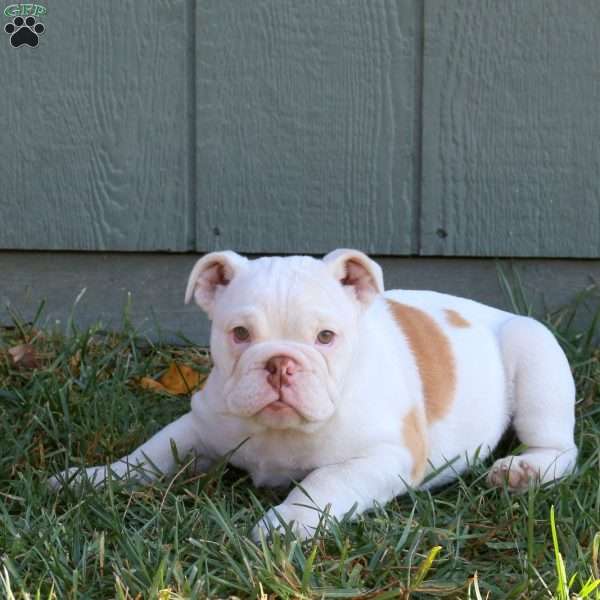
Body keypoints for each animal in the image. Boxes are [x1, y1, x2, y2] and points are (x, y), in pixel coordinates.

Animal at [50, 248, 576, 540]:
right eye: (239, 334)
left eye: (326, 337)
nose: (280, 363)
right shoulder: (199, 427)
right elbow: (149, 454)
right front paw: (94, 478)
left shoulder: (386, 457)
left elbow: (325, 482)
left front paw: (287, 522)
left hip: (535, 355)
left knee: (561, 449)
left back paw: (523, 471)